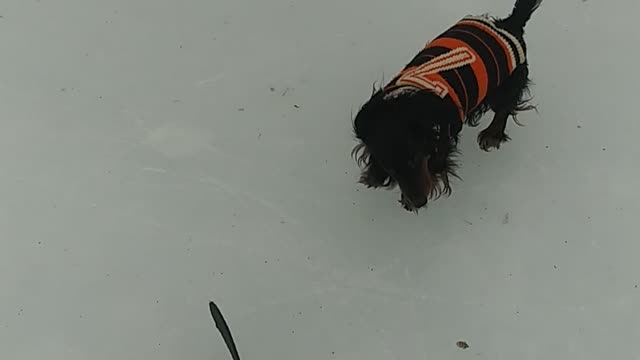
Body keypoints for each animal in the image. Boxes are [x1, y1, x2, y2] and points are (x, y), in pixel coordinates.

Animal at [352, 0, 544, 212]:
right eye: (390, 167)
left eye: (415, 158)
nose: (419, 202)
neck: (406, 102)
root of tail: (509, 23)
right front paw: (375, 174)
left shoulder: (445, 133)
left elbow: (436, 162)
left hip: (507, 83)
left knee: (503, 108)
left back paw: (492, 134)